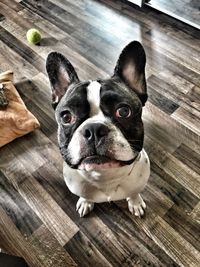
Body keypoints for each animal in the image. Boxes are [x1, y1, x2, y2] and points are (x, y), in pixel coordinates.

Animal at [46, 41, 150, 218]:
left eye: (124, 111)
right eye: (66, 117)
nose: (94, 129)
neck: (104, 176)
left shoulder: (137, 183)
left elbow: (134, 193)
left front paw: (135, 203)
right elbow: (85, 196)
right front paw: (85, 202)